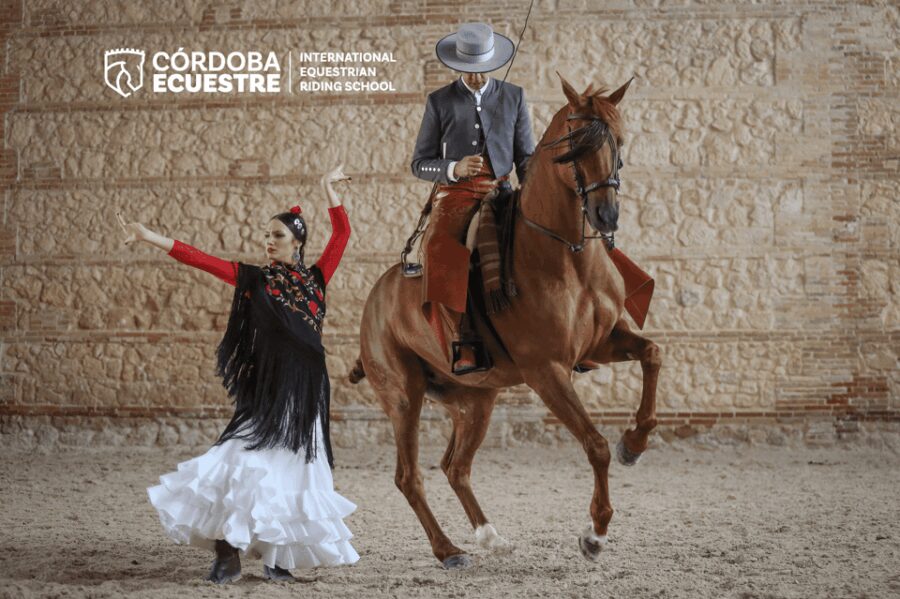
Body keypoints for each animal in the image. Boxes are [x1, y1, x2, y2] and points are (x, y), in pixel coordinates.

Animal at [350, 75, 661, 569]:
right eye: (574, 143)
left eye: (619, 140)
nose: (606, 216)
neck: (566, 257)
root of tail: (375, 300)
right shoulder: (547, 371)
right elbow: (594, 445)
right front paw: (594, 533)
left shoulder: (602, 343)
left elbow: (653, 353)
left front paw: (634, 444)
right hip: (403, 397)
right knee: (408, 476)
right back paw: (448, 550)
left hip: (476, 400)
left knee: (455, 467)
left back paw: (489, 536)